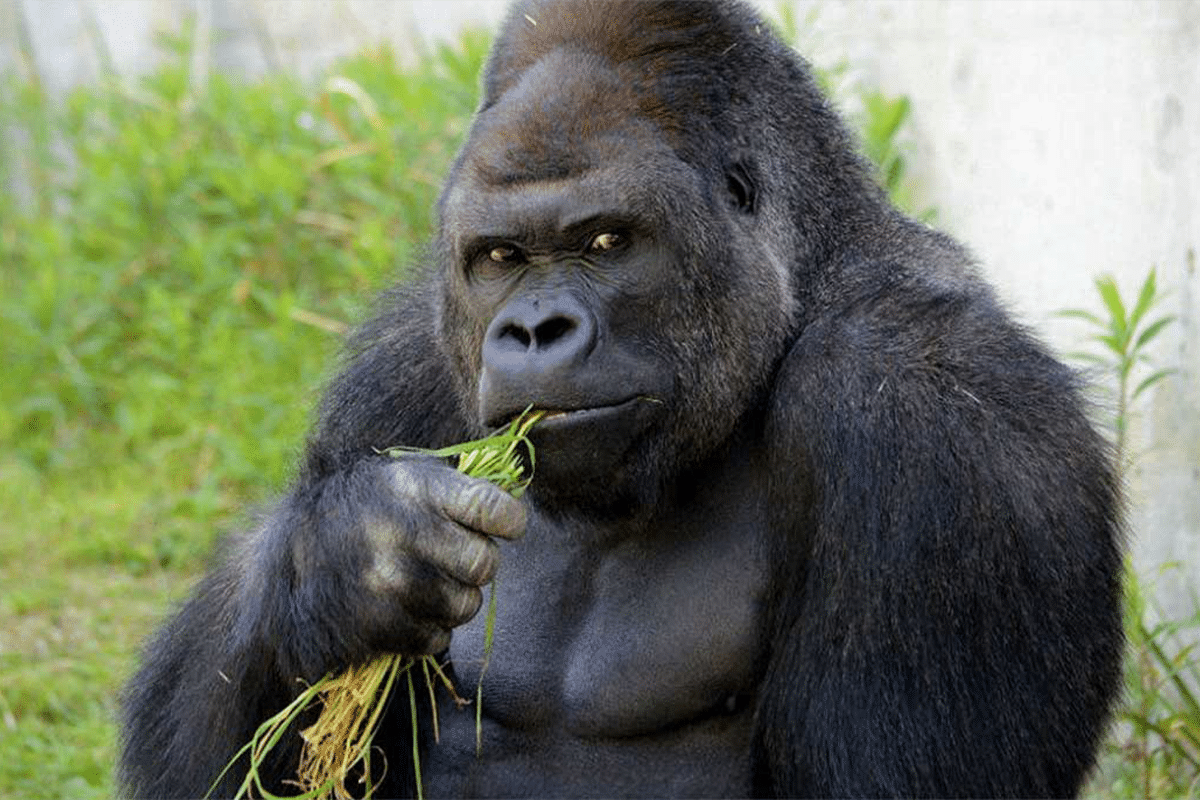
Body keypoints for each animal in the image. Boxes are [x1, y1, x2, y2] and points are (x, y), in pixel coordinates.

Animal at [117, 3, 1118, 796]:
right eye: (499, 257)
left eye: (605, 241)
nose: (532, 331)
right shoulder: (401, 368)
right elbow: (213, 770)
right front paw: (345, 560)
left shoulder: (928, 420)